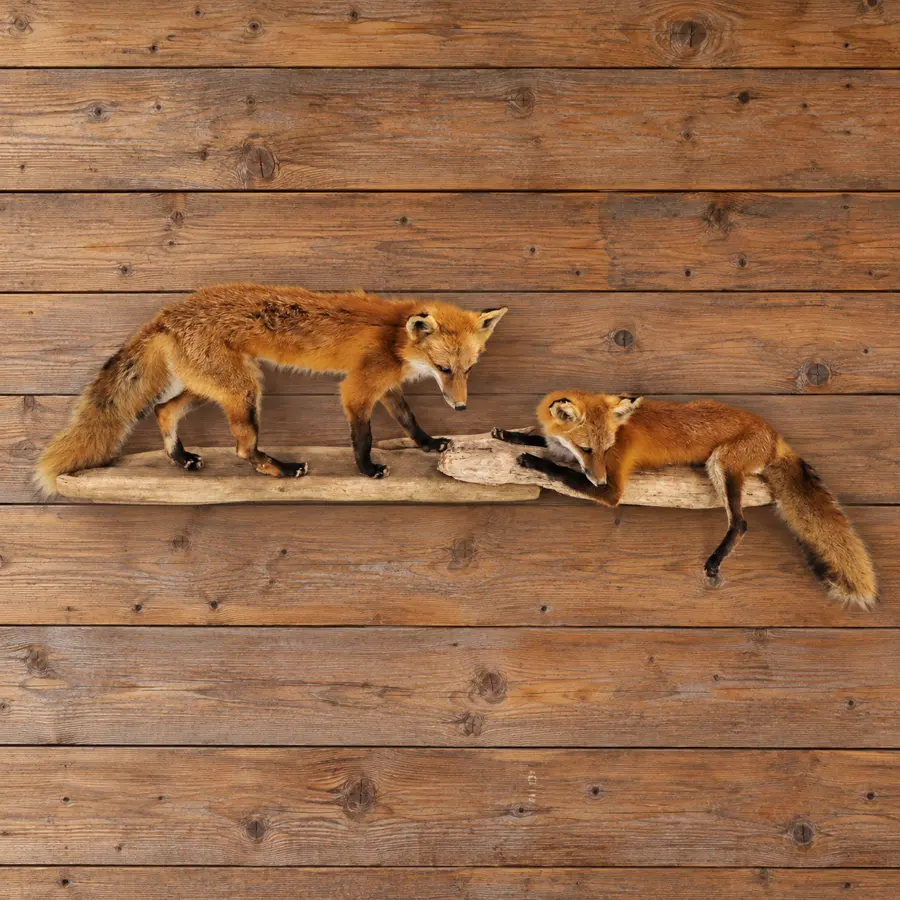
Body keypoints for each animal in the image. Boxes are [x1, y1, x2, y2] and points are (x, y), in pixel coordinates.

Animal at [36, 283, 507, 494]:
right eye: (444, 369)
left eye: (468, 369)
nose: (462, 408)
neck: (394, 334)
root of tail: (168, 312)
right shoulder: (358, 388)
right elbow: (363, 436)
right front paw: (367, 469)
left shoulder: (387, 387)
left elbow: (410, 421)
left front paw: (430, 444)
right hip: (243, 390)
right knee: (243, 449)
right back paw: (280, 467)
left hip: (213, 387)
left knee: (163, 410)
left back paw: (181, 458)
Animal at [493, 391, 877, 610]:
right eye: (588, 449)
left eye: (606, 449)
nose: (598, 478)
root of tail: (775, 435)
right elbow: (541, 439)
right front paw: (508, 434)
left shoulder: (612, 489)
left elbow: (559, 469)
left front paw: (532, 462)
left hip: (722, 464)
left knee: (741, 523)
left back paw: (716, 559)